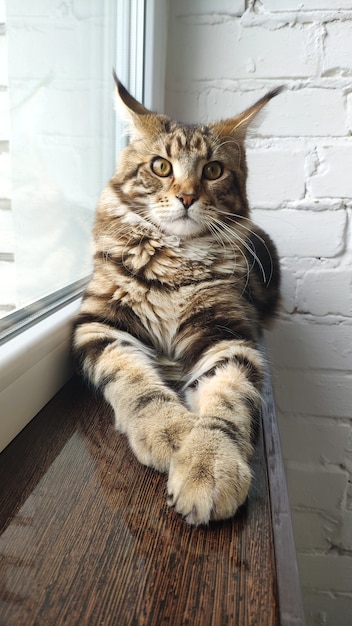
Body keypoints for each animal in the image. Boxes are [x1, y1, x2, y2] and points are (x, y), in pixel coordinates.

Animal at [73, 75, 282, 524]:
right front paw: (168, 430)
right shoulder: (100, 323)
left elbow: (227, 398)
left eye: (213, 170)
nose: (187, 197)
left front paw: (209, 463)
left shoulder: (228, 332)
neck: (176, 257)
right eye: (161, 166)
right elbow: (135, 381)